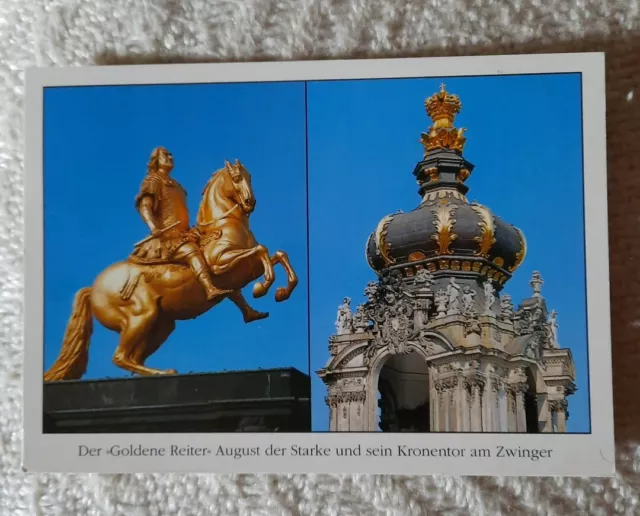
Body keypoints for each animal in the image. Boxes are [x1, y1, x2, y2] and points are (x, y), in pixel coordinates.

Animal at [43, 161, 298, 382]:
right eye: (236, 178)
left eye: (250, 177)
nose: (250, 202)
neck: (223, 226)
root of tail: (93, 287)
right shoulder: (221, 264)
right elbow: (262, 251)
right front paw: (262, 287)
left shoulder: (245, 269)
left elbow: (278, 255)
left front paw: (280, 293)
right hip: (140, 316)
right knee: (120, 357)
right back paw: (163, 372)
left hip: (161, 325)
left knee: (133, 358)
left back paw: (160, 372)